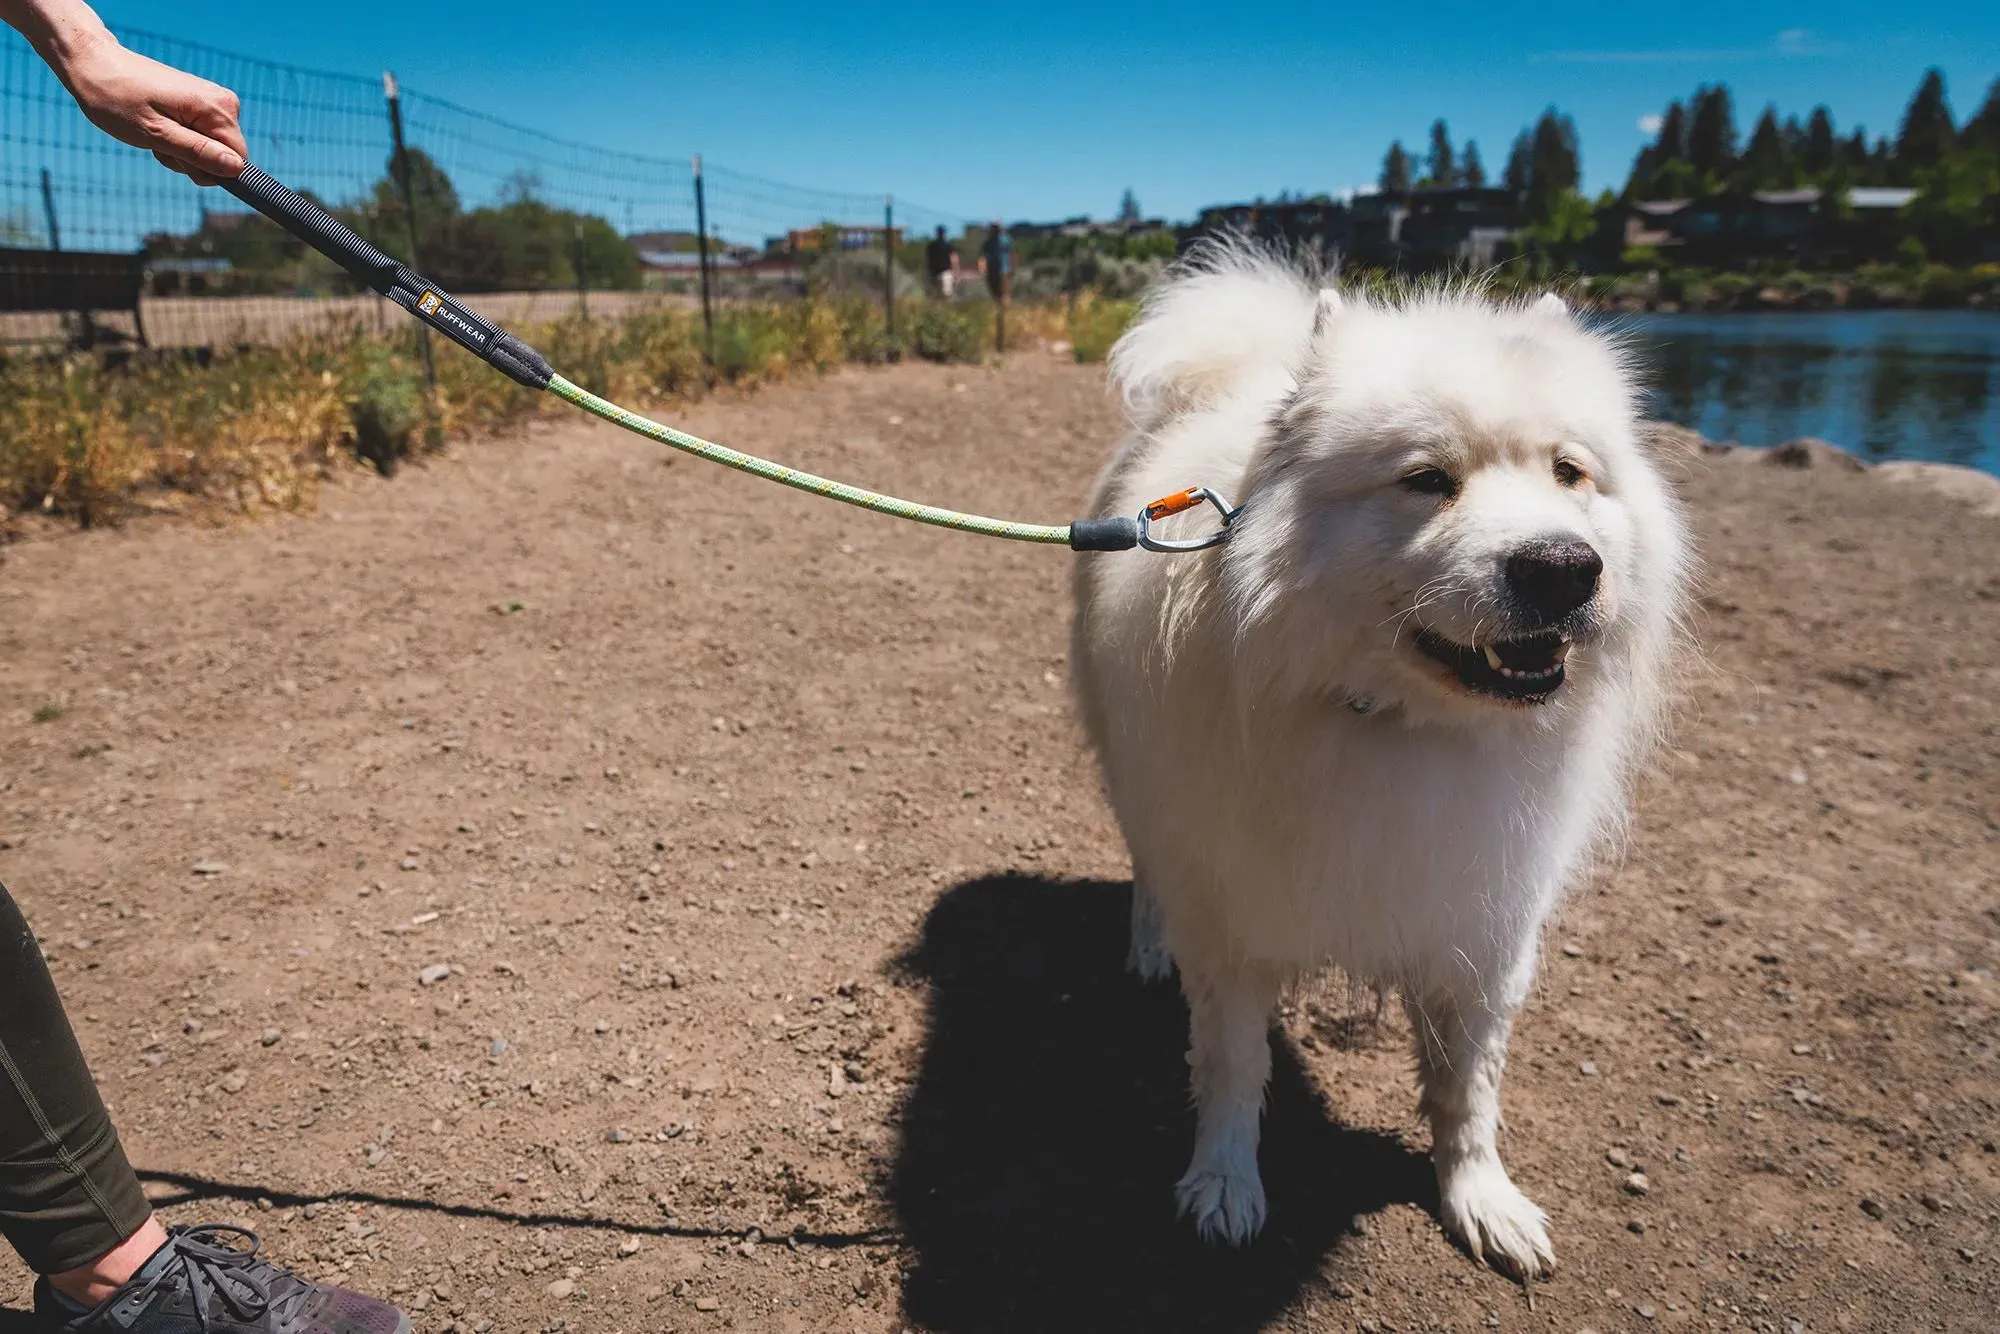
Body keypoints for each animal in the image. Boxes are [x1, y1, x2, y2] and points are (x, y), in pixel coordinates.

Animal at [1072, 245, 1696, 1280]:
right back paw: (1149, 948)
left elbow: (1468, 1088)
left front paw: (1481, 1199)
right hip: (1139, 782)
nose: (1565, 568)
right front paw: (1224, 1187)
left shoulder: (1483, 921)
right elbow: (1233, 1068)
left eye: (1570, 472)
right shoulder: (1234, 912)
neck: (1406, 721)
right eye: (1426, 479)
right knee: (1148, 870)